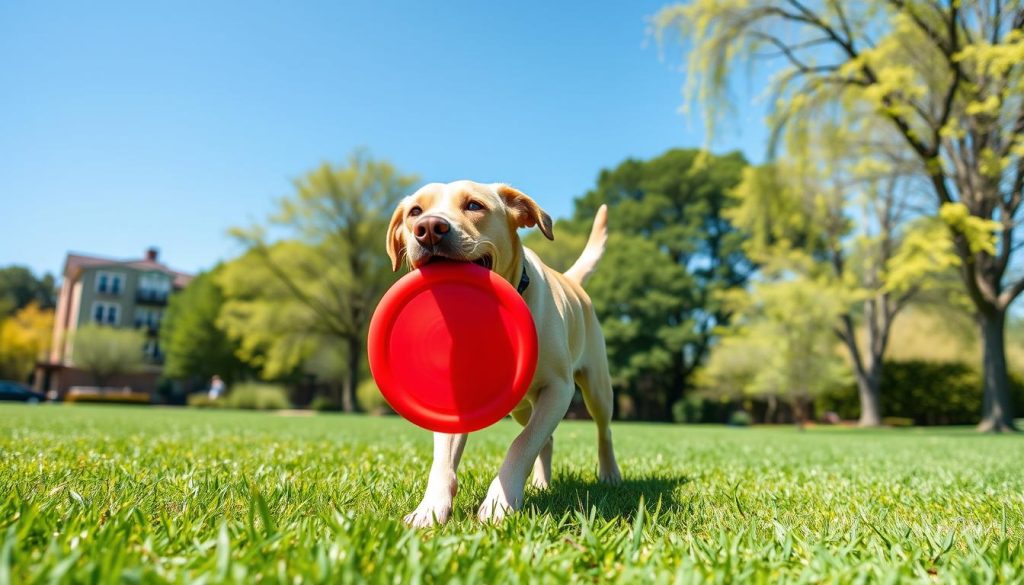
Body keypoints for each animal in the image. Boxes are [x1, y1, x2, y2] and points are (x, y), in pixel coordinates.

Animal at [385, 179, 618, 524]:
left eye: (474, 205)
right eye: (415, 211)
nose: (428, 229)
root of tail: (571, 281)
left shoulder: (558, 389)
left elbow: (522, 445)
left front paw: (500, 502)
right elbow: (443, 460)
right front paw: (429, 508)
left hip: (597, 388)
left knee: (602, 431)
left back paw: (610, 473)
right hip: (522, 408)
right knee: (546, 438)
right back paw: (542, 483)